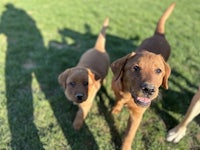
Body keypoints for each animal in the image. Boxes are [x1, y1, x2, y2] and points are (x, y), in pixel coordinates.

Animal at [111, 2, 175, 149]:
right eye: (136, 68)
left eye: (158, 71)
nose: (149, 90)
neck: (128, 95)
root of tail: (159, 35)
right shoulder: (117, 91)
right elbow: (118, 101)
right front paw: (116, 109)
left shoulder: (137, 115)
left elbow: (129, 135)